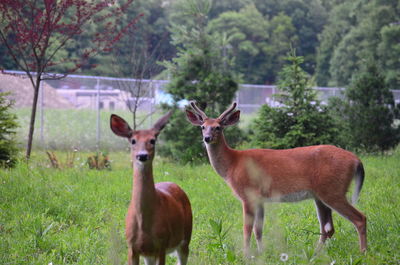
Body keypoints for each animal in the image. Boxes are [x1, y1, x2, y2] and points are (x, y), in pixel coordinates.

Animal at [108, 111, 192, 264]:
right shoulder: (132, 247)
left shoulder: (162, 243)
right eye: (133, 141)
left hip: (186, 237)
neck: (144, 223)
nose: (142, 155)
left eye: (152, 140)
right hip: (149, 254)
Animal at [186, 100, 368, 254]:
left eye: (218, 127)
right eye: (202, 127)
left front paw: (246, 254)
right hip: (320, 195)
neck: (232, 164)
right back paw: (316, 254)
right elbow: (258, 230)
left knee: (359, 218)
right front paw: (262, 253)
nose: (207, 138)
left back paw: (363, 252)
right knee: (328, 228)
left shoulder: (248, 194)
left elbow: (247, 229)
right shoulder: (260, 198)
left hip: (332, 190)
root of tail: (356, 160)